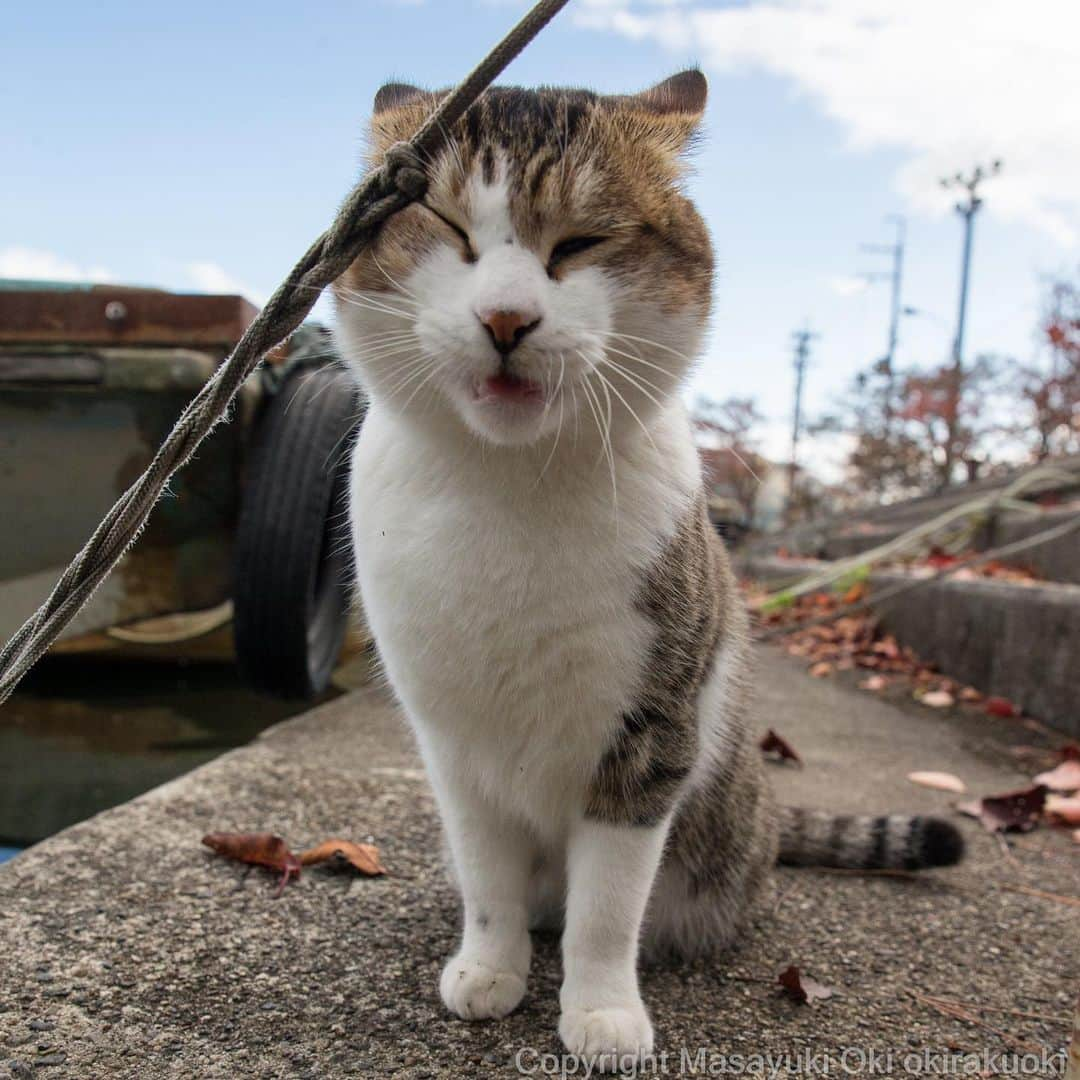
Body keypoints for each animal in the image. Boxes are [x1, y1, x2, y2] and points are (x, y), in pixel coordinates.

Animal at [336, 73, 963, 1071]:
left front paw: (600, 1013)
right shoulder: (452, 741)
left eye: (582, 242)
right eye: (447, 225)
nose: (505, 318)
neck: (511, 487)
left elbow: (606, 905)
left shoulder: (650, 734)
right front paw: (490, 967)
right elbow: (487, 877)